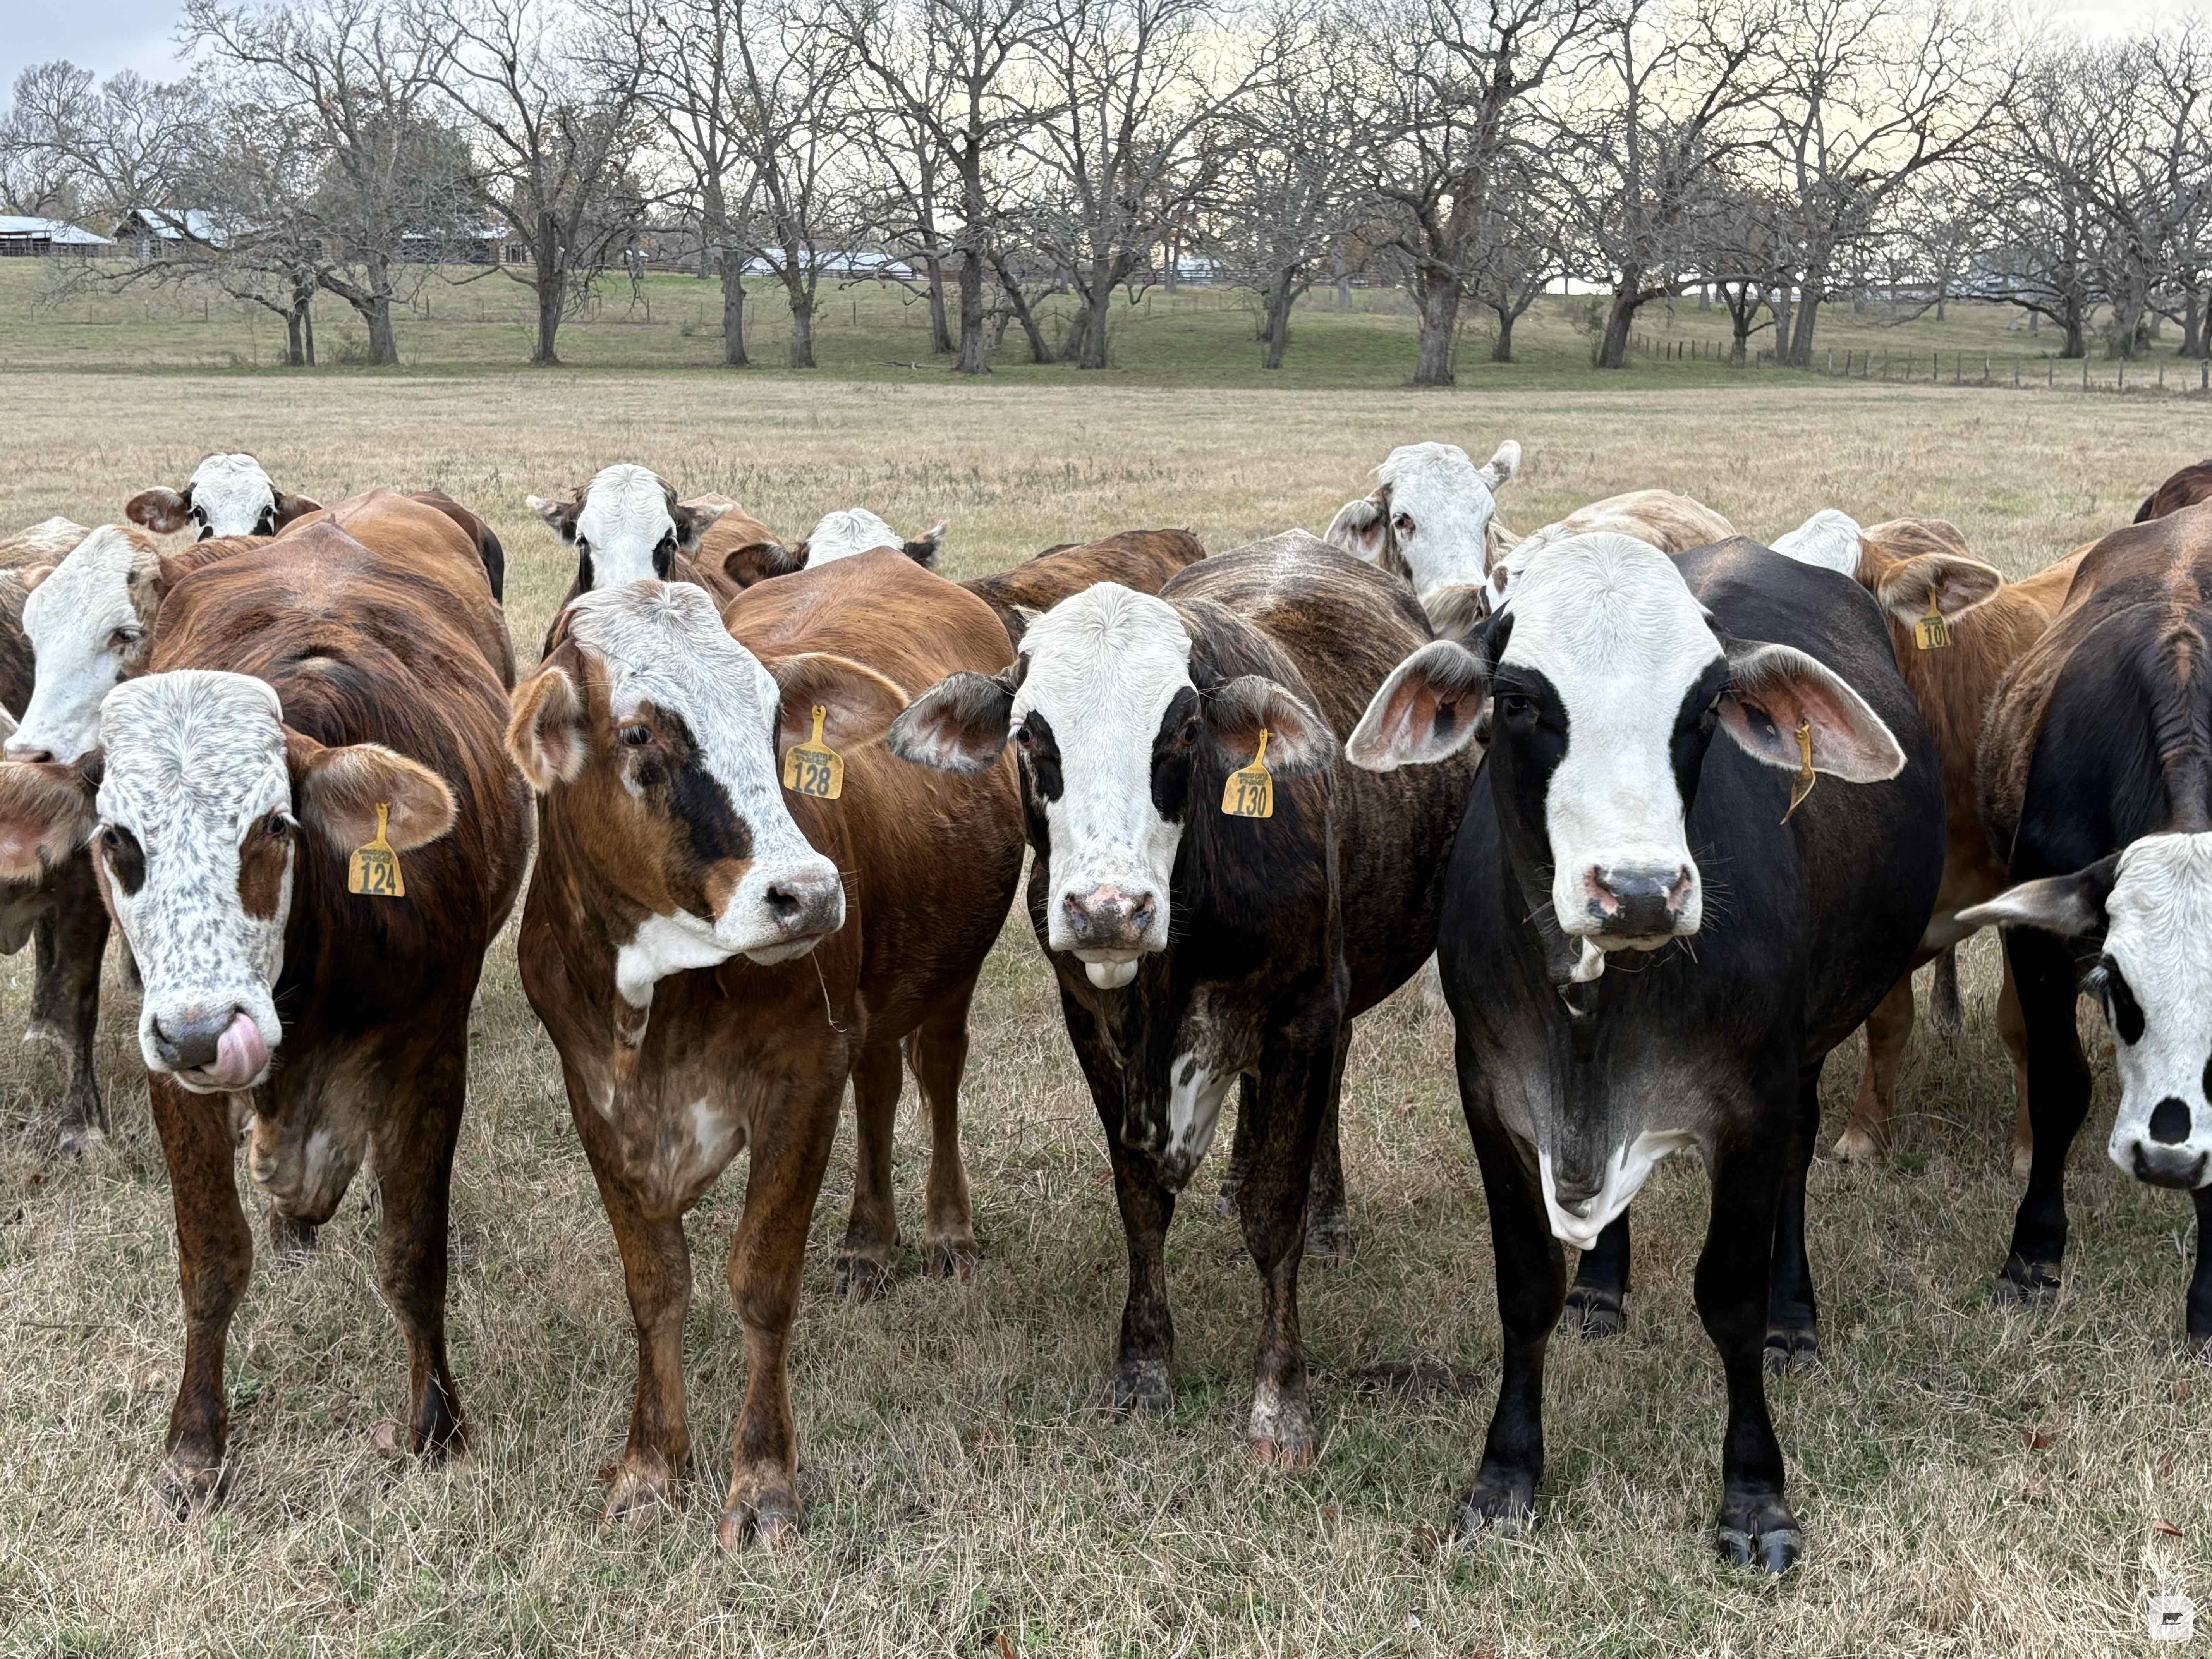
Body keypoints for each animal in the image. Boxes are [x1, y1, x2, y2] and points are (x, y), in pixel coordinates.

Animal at [0, 514, 530, 1514]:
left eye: (275, 828)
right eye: (116, 838)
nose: (206, 1032)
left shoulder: (431, 1054)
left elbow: (413, 1251)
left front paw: (436, 1424)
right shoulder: (176, 1079)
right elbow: (211, 1257)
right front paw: (195, 1445)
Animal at [506, 551, 1023, 1545]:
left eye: (774, 718)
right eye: (636, 732)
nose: (808, 895)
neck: (659, 1001)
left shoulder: (800, 1078)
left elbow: (761, 1280)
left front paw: (763, 1480)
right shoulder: (595, 1097)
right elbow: (655, 1287)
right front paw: (650, 1466)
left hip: (947, 977)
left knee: (933, 1077)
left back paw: (945, 1230)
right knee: (880, 1086)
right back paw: (866, 1242)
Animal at [888, 533, 1474, 1466]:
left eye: (1186, 729)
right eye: (1031, 735)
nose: (1108, 909)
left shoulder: (1307, 1009)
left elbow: (1276, 1216)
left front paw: (1280, 1400)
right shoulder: (1091, 1026)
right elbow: (1141, 1200)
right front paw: (1143, 1364)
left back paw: (1329, 1211)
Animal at [1347, 532, 1942, 1570]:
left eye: (1704, 708)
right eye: (1517, 701)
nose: (1637, 889)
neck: (1594, 1011)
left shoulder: (1753, 1100)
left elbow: (1730, 1294)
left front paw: (1755, 1497)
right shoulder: (1490, 1096)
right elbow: (1525, 1290)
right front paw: (1506, 1475)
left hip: (1809, 1050)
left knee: (1800, 1162)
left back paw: (1796, 1317)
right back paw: (1602, 1291)